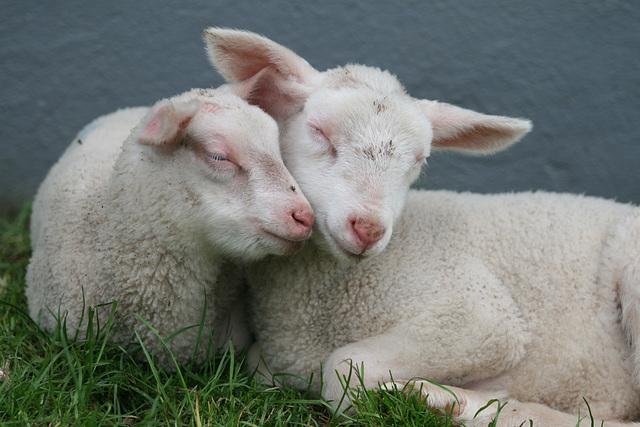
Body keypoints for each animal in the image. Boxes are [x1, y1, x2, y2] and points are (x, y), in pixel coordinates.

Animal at [205, 28, 640, 426]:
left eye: (419, 160)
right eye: (318, 131)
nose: (368, 229)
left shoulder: (481, 318)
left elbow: (343, 369)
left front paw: (394, 400)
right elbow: (260, 368)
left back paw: (446, 402)